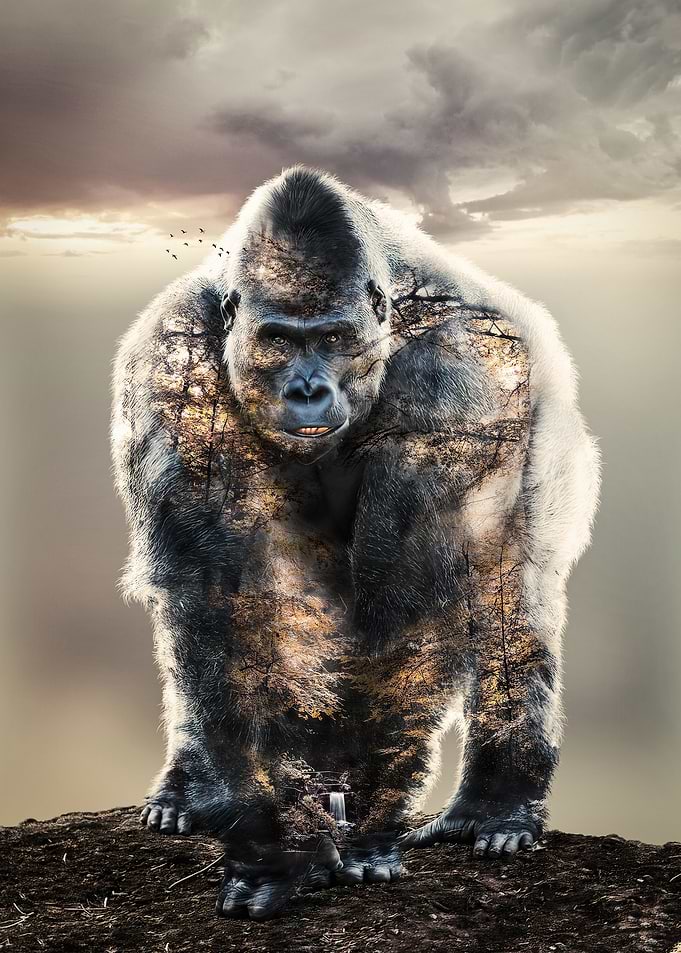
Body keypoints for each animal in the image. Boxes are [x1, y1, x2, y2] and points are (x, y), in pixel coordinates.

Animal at [111, 165, 600, 920]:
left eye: (335, 337)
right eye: (280, 340)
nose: (307, 389)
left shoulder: (460, 373)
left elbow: (410, 598)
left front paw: (363, 829)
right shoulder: (173, 366)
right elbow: (222, 594)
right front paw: (279, 840)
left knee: (509, 589)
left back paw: (495, 804)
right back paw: (195, 787)